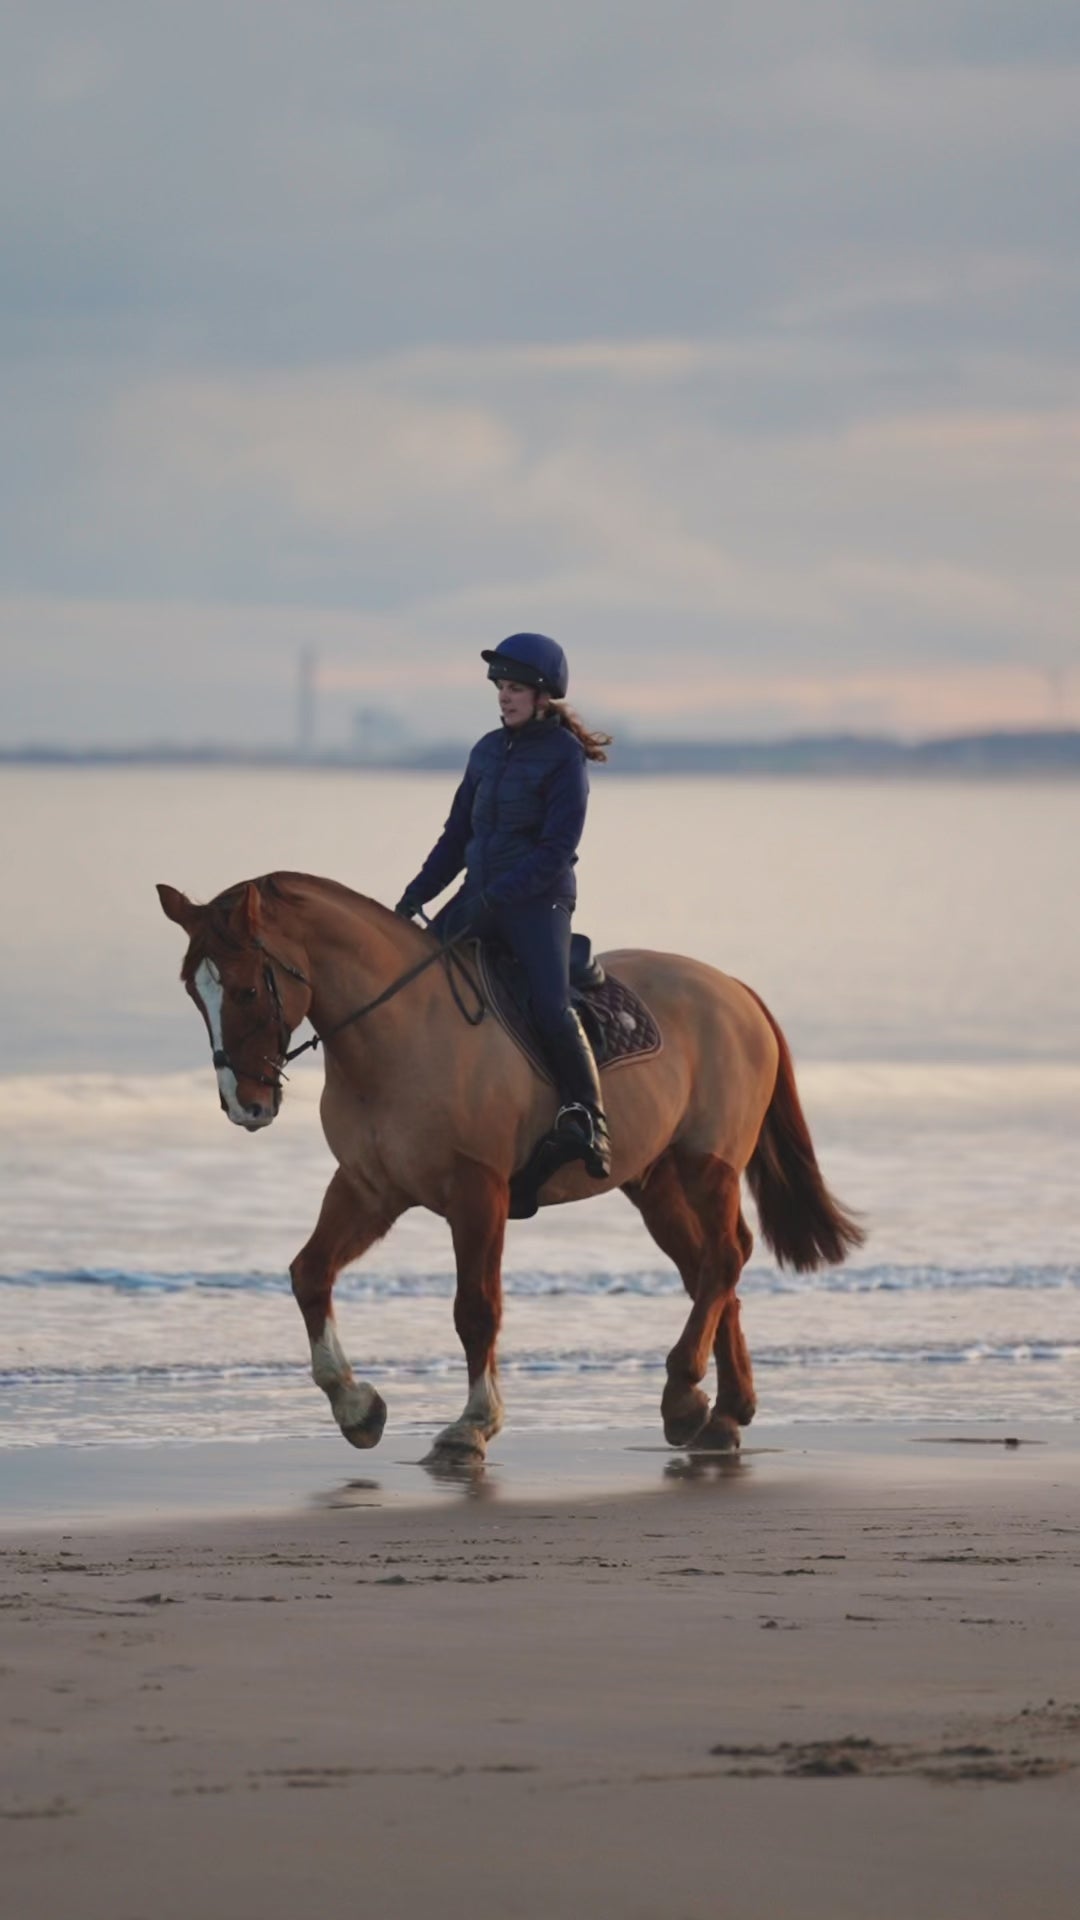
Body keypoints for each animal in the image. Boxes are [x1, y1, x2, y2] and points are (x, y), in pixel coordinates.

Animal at [157, 879, 857, 1459]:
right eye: (194, 992)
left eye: (248, 989)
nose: (245, 1104)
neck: (400, 1033)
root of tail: (734, 990)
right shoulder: (369, 1188)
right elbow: (309, 1274)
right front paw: (357, 1407)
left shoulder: (478, 1192)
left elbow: (476, 1307)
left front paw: (472, 1425)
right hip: (653, 1183)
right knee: (708, 1268)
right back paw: (723, 1414)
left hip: (706, 1164)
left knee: (725, 1256)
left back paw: (684, 1395)